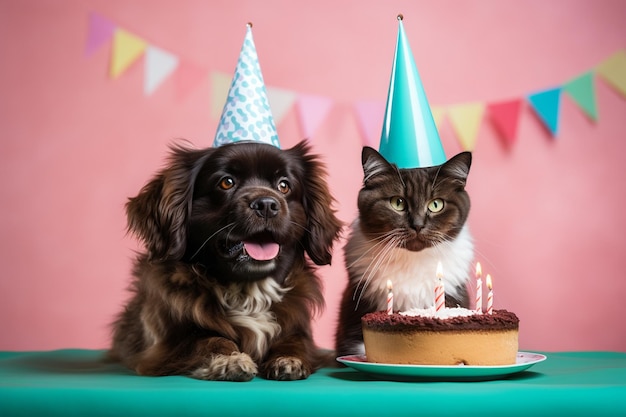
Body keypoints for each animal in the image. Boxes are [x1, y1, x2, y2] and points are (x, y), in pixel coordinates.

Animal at [108, 141, 342, 380]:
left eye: (284, 186)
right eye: (226, 182)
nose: (267, 204)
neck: (248, 290)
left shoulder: (299, 331)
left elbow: (294, 341)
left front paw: (288, 359)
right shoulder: (165, 346)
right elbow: (207, 340)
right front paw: (230, 359)